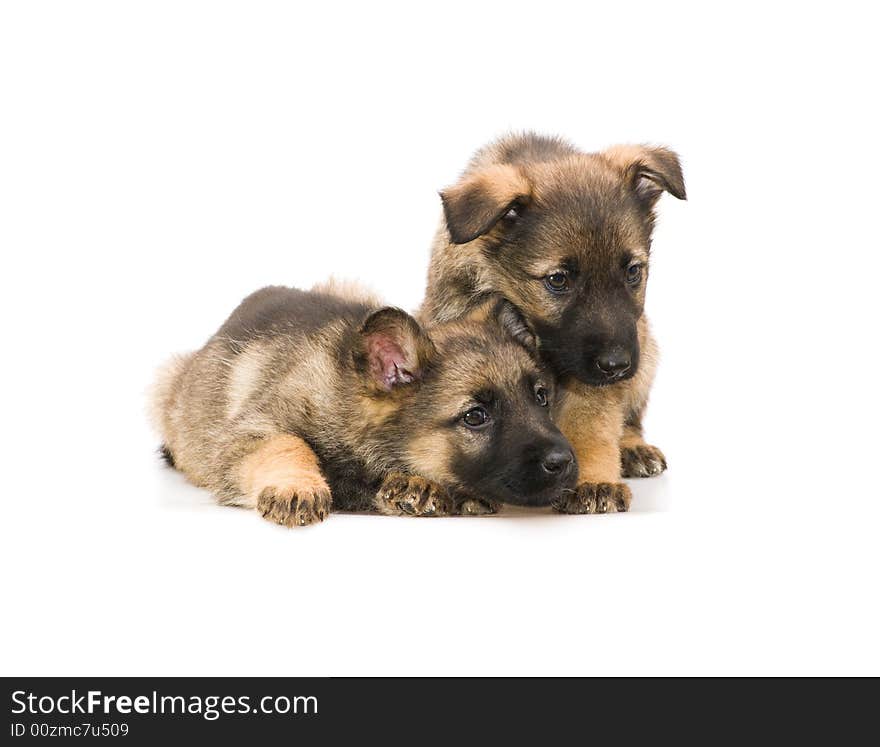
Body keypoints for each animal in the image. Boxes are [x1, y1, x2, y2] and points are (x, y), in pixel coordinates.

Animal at [151, 282, 576, 524]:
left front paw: (417, 487)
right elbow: (288, 443)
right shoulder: (247, 434)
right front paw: (297, 486)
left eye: (541, 397)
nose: (566, 463)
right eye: (476, 417)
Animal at [422, 133, 688, 516]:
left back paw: (632, 446)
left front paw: (593, 480)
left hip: (646, 347)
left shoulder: (592, 379)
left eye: (632, 271)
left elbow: (591, 423)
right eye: (558, 280)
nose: (617, 366)